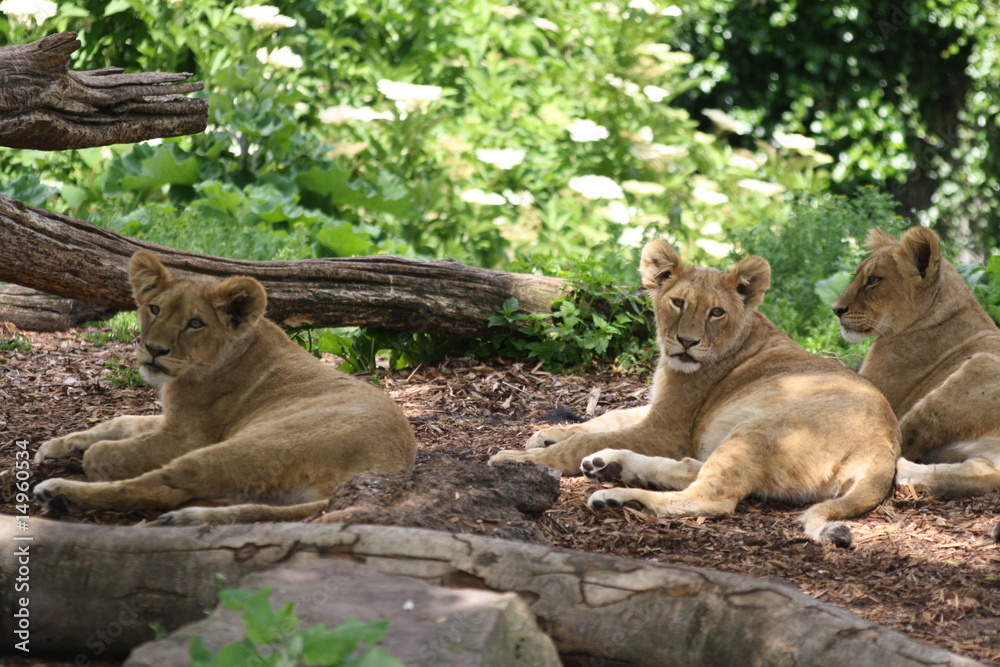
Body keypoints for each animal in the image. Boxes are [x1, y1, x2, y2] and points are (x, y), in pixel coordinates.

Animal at [33, 251, 417, 525]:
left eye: (195, 323)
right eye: (154, 309)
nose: (154, 350)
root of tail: (387, 469)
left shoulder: (186, 438)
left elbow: (104, 454)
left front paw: (82, 455)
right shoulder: (170, 418)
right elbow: (120, 421)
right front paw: (58, 445)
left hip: (245, 446)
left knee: (163, 488)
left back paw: (59, 493)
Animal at [490, 240, 900, 547]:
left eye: (716, 312)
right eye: (679, 302)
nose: (687, 342)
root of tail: (884, 447)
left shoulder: (667, 431)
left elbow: (580, 442)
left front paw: (517, 459)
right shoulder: (660, 411)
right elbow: (608, 416)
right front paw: (546, 435)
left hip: (761, 430)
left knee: (709, 498)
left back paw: (615, 496)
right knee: (693, 470)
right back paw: (610, 464)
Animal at [833, 226, 1000, 500]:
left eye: (874, 280)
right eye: (855, 276)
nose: (836, 310)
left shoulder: (878, 386)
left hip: (976, 370)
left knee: (897, 439)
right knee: (977, 476)